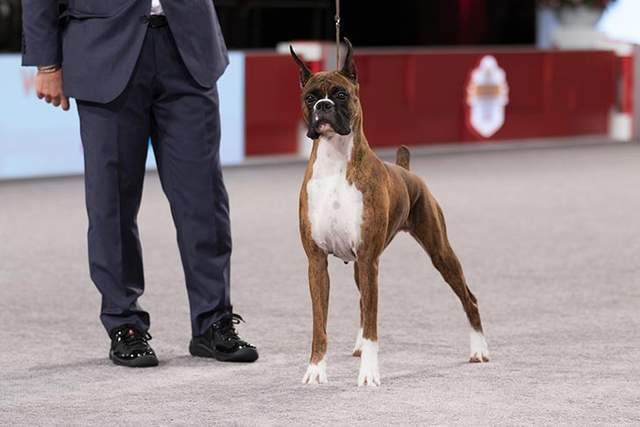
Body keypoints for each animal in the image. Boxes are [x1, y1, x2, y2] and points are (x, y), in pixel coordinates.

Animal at [292, 41, 490, 388]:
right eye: (310, 98)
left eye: (340, 94)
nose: (324, 107)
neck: (335, 163)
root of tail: (407, 171)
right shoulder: (317, 263)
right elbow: (320, 324)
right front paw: (316, 370)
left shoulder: (370, 259)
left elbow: (373, 324)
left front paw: (369, 374)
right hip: (361, 268)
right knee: (361, 303)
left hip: (440, 253)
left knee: (469, 298)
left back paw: (479, 349)